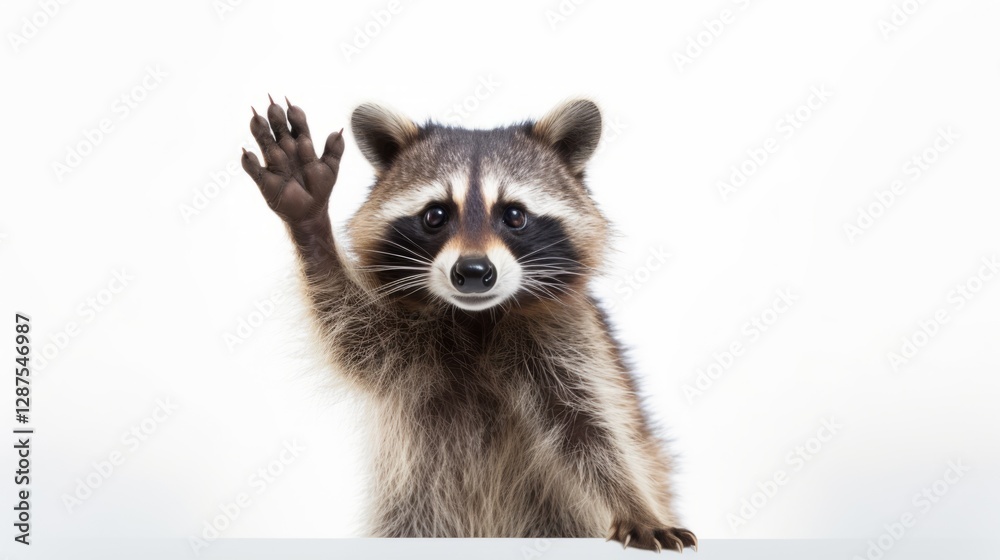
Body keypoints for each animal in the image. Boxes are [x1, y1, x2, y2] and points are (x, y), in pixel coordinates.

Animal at [240, 96, 696, 552]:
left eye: (514, 215)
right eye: (436, 215)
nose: (474, 272)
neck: (479, 318)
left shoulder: (568, 334)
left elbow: (594, 428)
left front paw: (634, 504)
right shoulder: (404, 343)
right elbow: (352, 330)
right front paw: (313, 231)